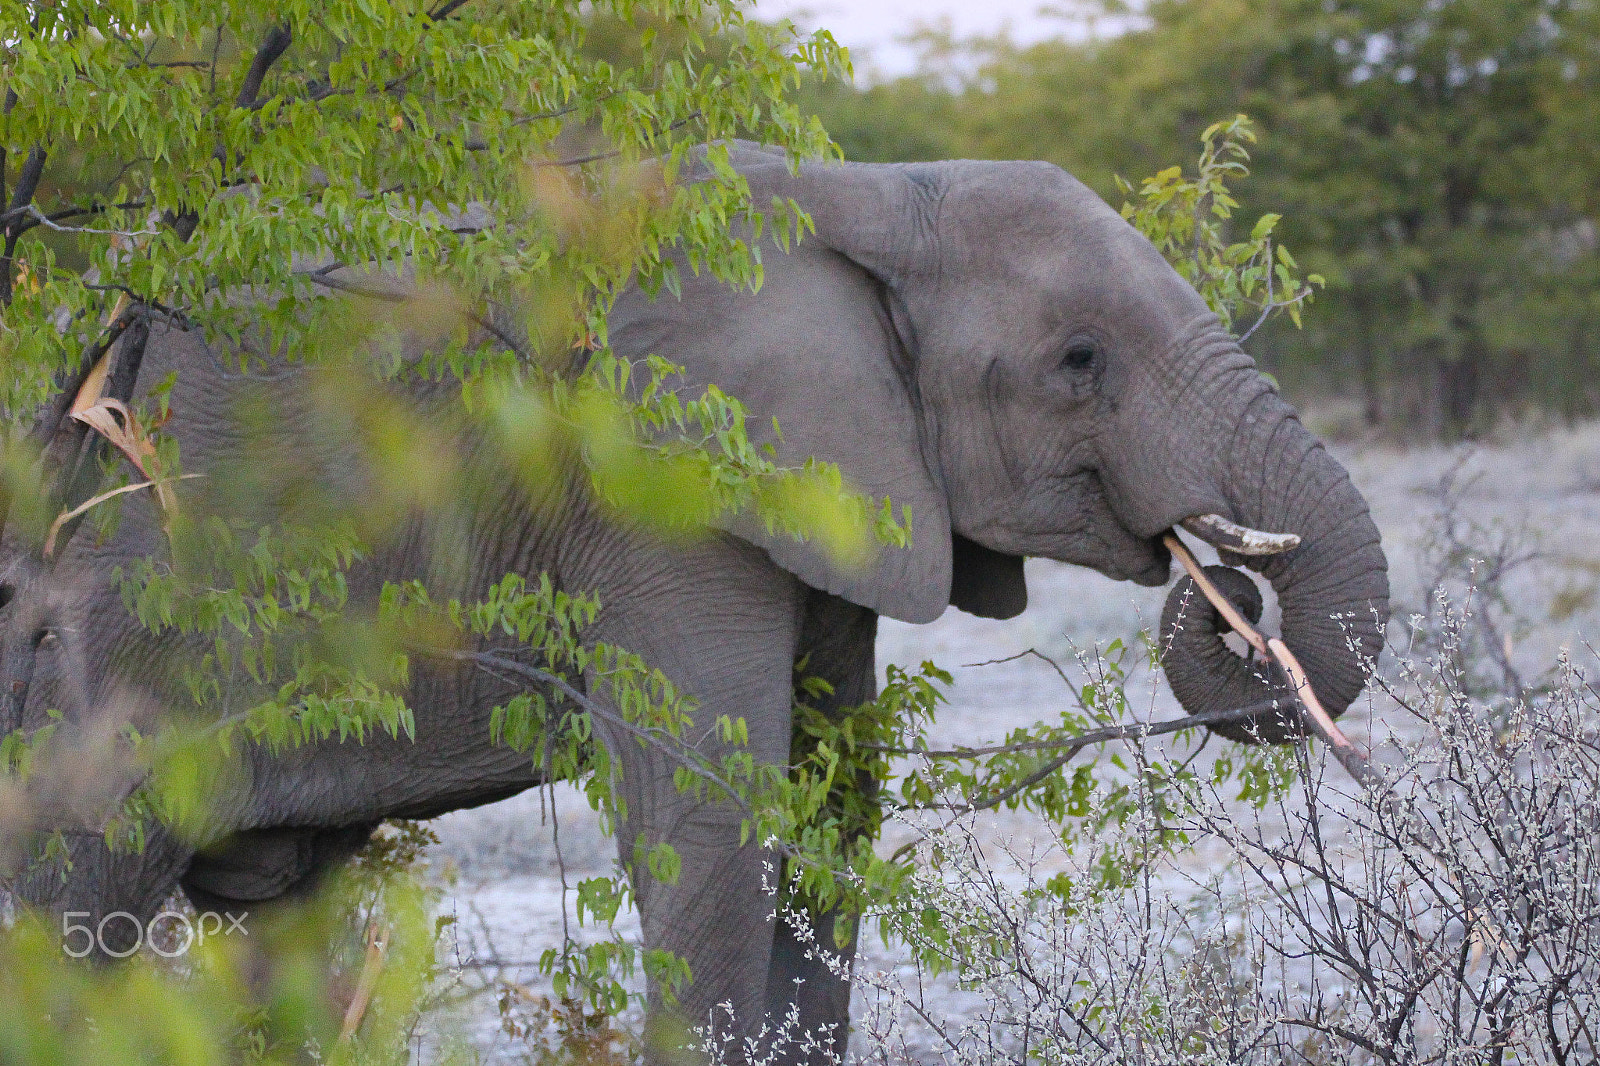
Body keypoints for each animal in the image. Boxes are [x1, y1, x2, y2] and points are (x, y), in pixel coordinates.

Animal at [0, 142, 1389, 1061]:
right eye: (1078, 360)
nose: (1224, 582)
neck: (871, 192)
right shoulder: (651, 488)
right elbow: (718, 808)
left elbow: (831, 795)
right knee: (77, 908)